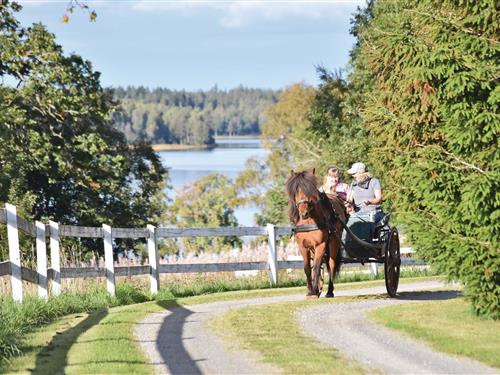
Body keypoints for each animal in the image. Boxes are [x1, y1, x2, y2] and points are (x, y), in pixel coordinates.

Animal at [288, 169, 346, 298]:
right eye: (296, 191)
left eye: (310, 190)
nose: (303, 213)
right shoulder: (303, 247)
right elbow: (307, 268)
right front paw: (310, 290)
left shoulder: (321, 245)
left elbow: (316, 266)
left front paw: (314, 290)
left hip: (334, 243)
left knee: (331, 264)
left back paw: (329, 291)